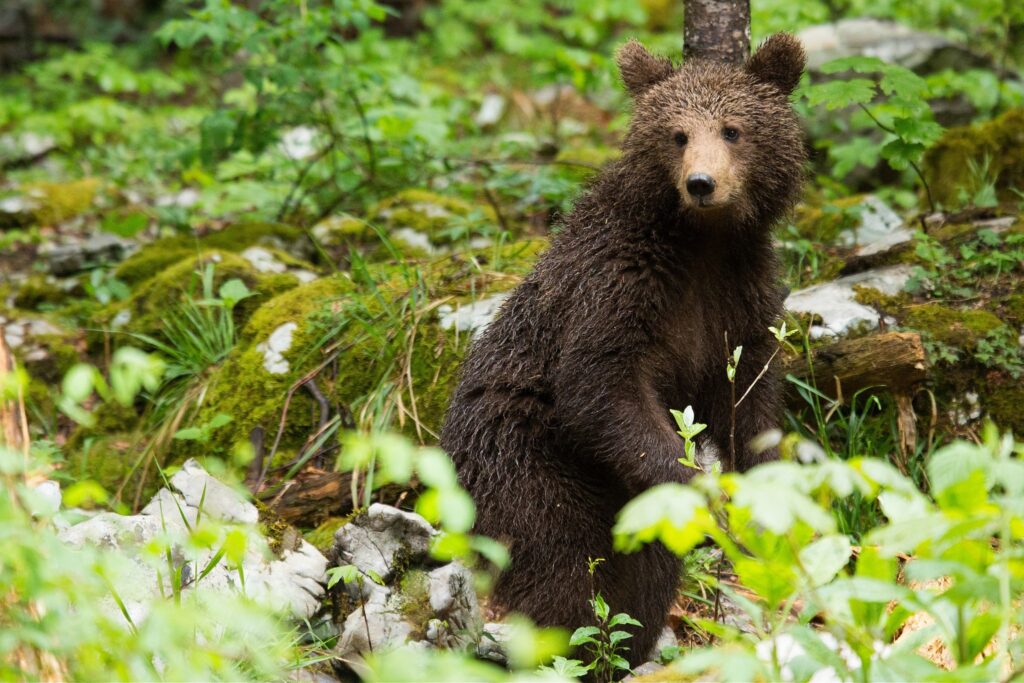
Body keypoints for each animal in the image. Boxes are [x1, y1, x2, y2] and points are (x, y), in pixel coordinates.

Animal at [440, 34, 806, 671]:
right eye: (677, 134)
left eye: (733, 129)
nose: (701, 182)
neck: (702, 242)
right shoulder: (617, 288)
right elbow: (603, 390)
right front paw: (704, 498)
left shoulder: (739, 298)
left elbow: (748, 398)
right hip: (528, 468)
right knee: (563, 568)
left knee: (645, 572)